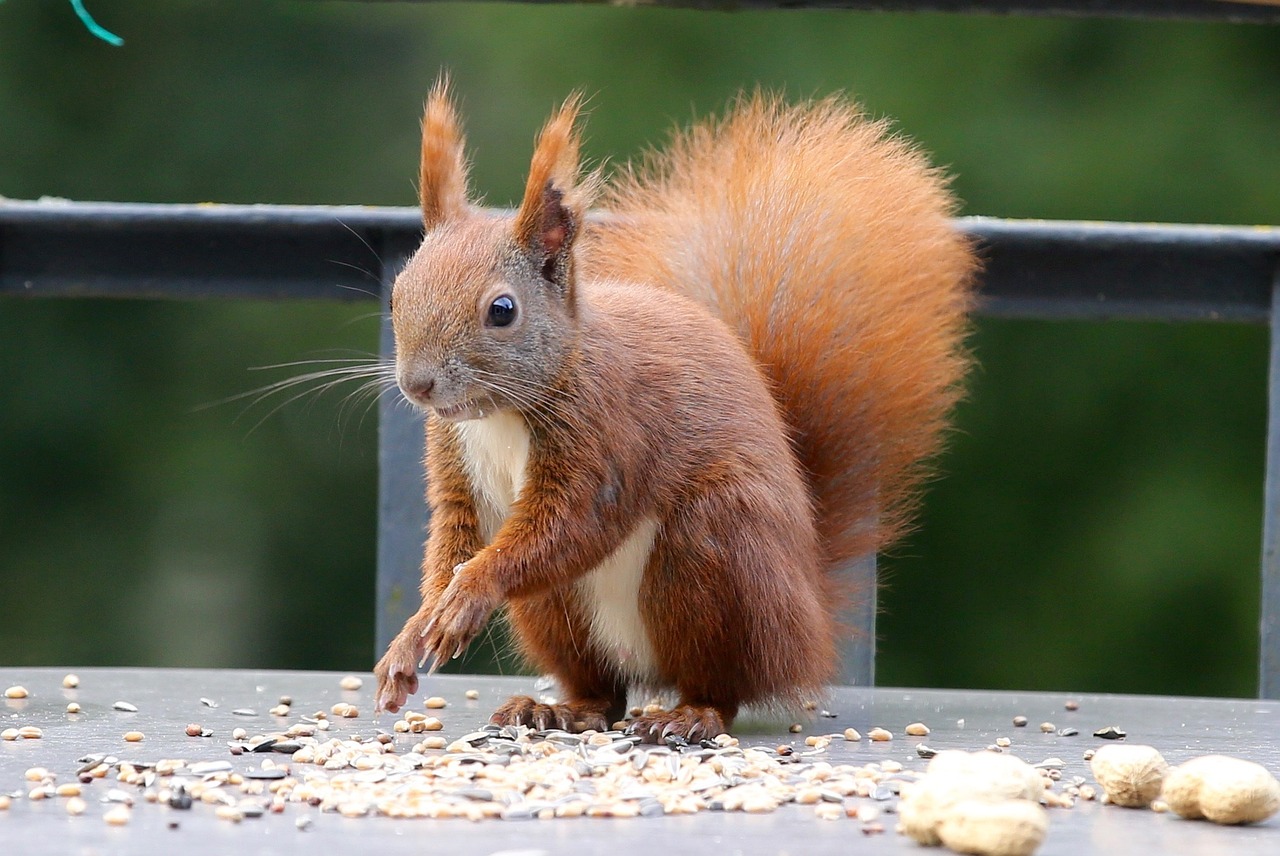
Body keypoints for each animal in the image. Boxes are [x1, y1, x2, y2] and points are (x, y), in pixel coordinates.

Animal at [373, 76, 972, 737]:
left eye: (502, 311)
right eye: (397, 294)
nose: (418, 385)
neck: (503, 413)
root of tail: (810, 615)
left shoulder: (608, 434)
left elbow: (571, 526)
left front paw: (470, 591)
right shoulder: (454, 457)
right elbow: (452, 540)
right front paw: (413, 634)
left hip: (713, 550)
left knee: (727, 682)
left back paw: (689, 714)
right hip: (559, 610)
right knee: (603, 691)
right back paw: (556, 707)